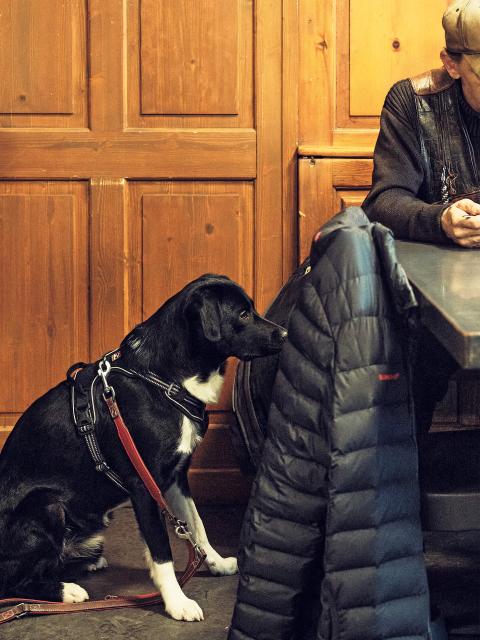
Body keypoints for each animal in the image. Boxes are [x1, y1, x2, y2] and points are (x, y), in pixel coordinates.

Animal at [0, 274, 284, 620]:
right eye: (243, 314)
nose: (285, 333)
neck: (163, 378)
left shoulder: (176, 478)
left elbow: (196, 526)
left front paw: (215, 563)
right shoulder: (143, 485)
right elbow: (162, 551)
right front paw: (177, 602)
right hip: (48, 507)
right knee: (12, 581)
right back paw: (65, 591)